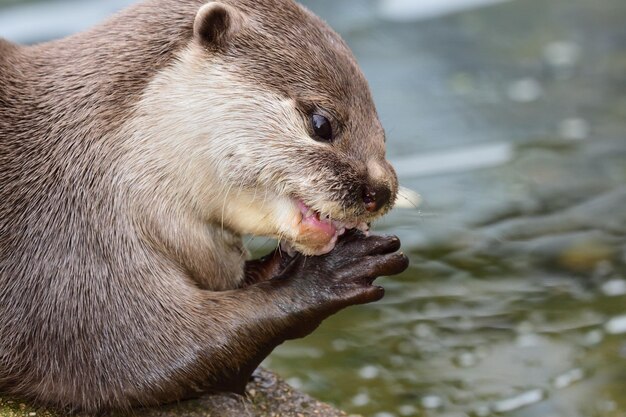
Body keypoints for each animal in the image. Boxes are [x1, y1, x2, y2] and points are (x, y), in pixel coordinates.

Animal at [0, 0, 408, 412]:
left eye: (383, 133)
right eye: (322, 124)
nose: (381, 191)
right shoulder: (71, 261)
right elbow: (146, 358)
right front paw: (330, 274)